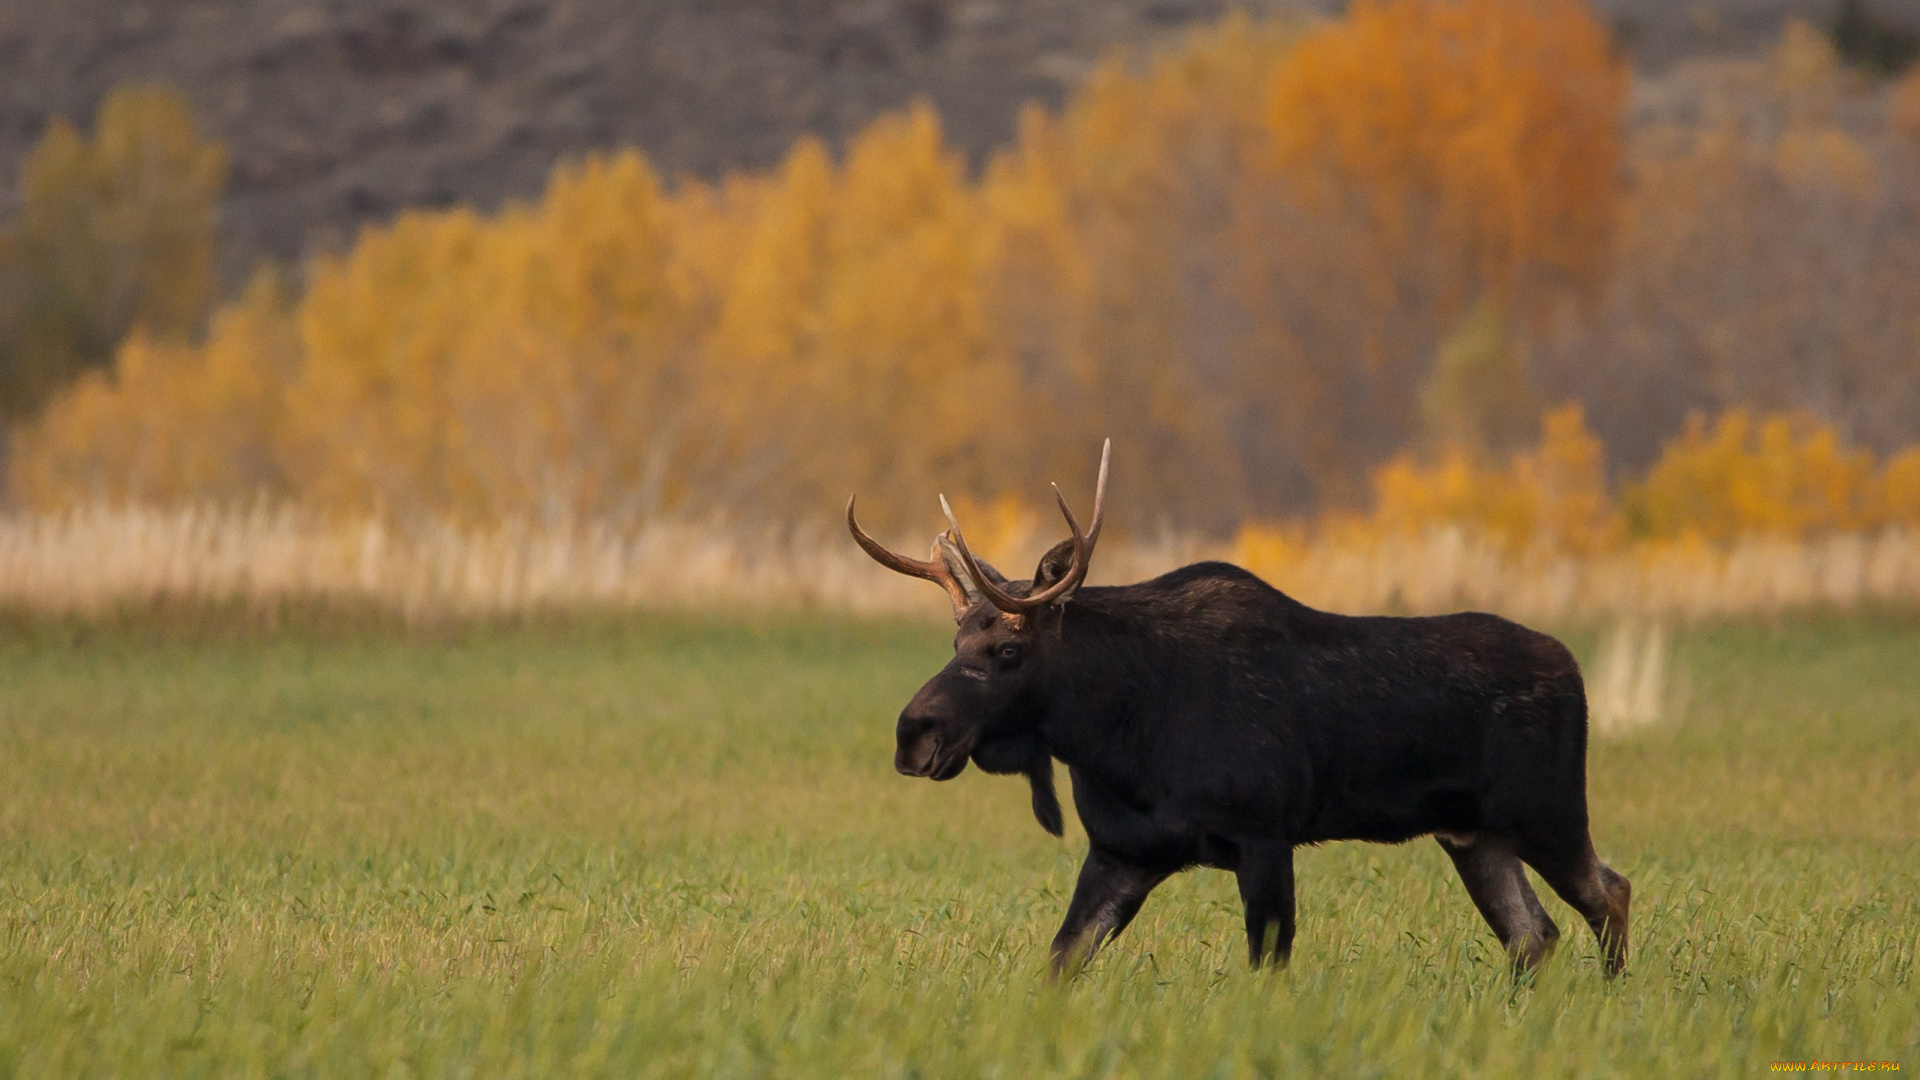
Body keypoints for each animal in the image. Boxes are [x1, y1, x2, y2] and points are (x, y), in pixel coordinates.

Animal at [856, 438, 1635, 976]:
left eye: (1010, 650)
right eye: (957, 638)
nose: (913, 733)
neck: (1114, 734)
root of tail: (1573, 670)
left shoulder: (1264, 836)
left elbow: (1268, 971)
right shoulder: (1123, 852)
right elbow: (1058, 963)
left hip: (1548, 813)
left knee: (1611, 892)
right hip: (1473, 834)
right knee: (1534, 934)